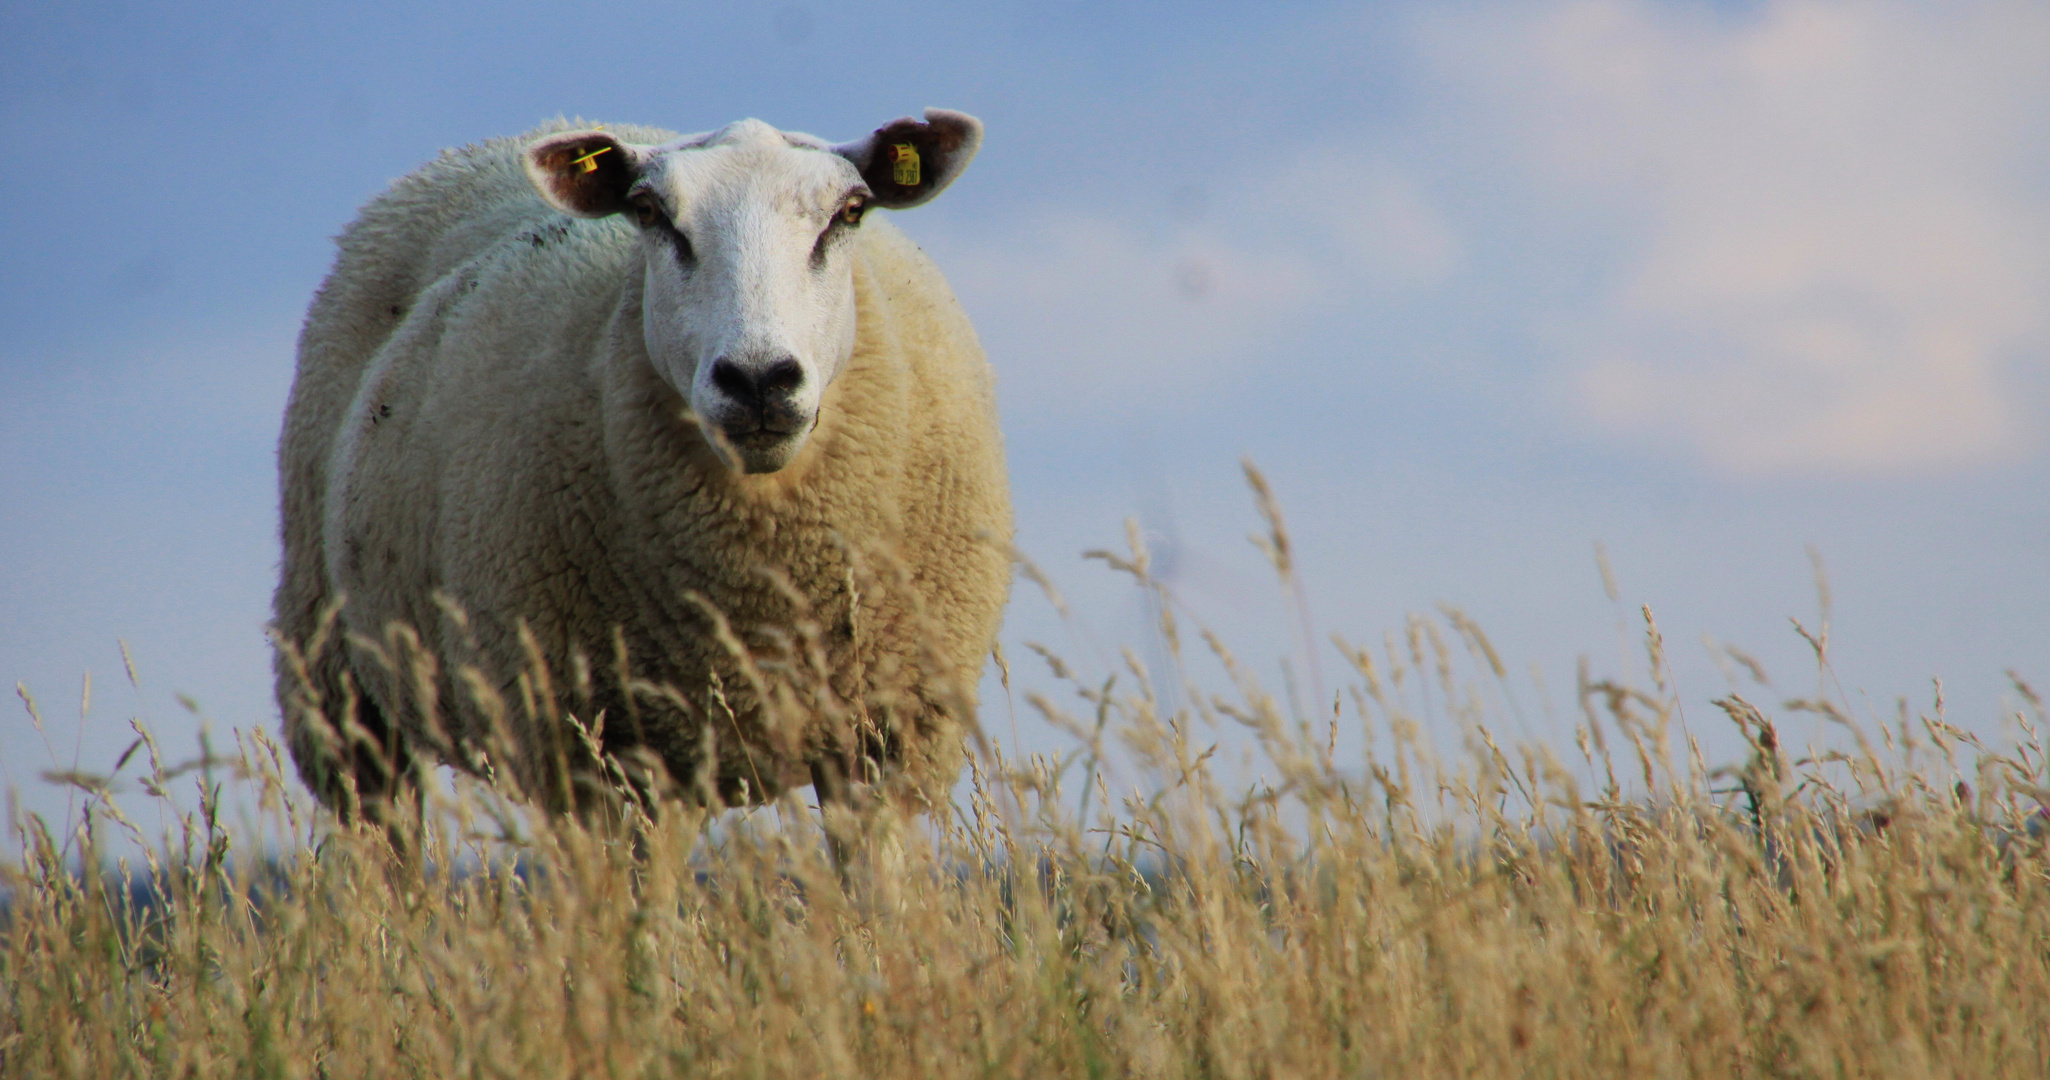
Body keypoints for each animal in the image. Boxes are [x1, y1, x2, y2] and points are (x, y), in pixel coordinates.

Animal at [272, 109, 1008, 823]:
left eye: (850, 211)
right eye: (651, 213)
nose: (758, 381)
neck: (762, 584)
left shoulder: (890, 740)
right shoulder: (575, 750)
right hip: (337, 684)